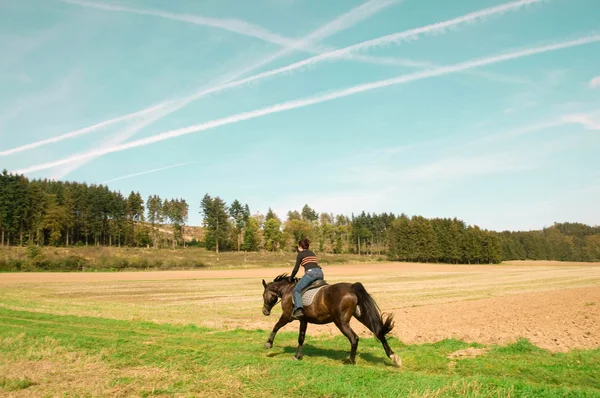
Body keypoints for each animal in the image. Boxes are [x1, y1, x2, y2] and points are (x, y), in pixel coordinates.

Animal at [260, 274, 400, 366]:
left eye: (263, 295)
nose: (264, 312)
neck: (287, 290)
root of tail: (351, 287)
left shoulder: (287, 316)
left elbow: (276, 326)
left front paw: (268, 344)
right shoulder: (303, 320)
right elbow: (301, 338)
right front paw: (298, 356)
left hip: (341, 322)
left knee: (354, 338)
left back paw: (350, 361)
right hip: (362, 316)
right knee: (379, 332)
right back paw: (393, 357)